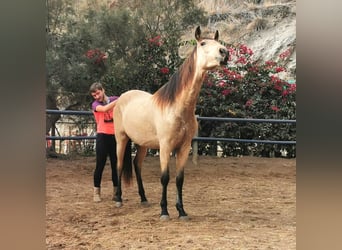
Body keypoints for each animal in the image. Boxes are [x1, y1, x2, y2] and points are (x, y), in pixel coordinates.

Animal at [113, 25, 228, 220]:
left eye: (218, 43)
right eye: (203, 43)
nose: (224, 52)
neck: (177, 108)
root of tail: (121, 98)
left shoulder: (183, 148)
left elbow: (179, 179)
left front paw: (181, 211)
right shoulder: (165, 147)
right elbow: (165, 178)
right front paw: (164, 211)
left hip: (142, 144)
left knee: (137, 165)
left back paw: (143, 199)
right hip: (121, 139)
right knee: (120, 165)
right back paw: (118, 199)